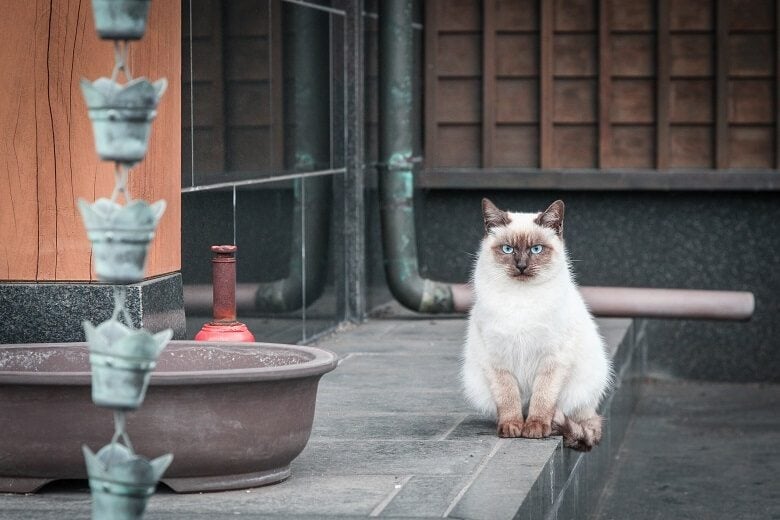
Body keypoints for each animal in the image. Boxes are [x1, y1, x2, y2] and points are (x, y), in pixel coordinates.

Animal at [460, 199, 612, 450]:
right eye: (508, 249)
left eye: (536, 249)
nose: (521, 266)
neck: (522, 300)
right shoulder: (497, 360)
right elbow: (508, 399)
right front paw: (512, 428)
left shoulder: (552, 360)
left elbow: (542, 400)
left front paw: (535, 429)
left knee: (580, 420)